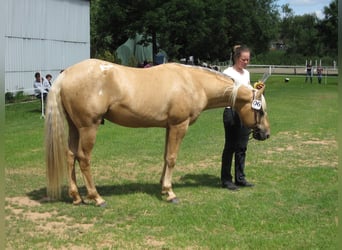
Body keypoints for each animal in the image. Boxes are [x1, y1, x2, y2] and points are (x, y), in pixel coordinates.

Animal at [45, 58, 270, 205]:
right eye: (260, 110)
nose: (265, 134)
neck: (193, 82)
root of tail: (66, 74)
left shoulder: (169, 127)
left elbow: (165, 157)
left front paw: (163, 187)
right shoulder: (179, 126)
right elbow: (172, 158)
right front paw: (170, 193)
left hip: (75, 127)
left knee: (70, 155)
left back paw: (76, 197)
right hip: (88, 127)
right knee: (83, 158)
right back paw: (96, 198)